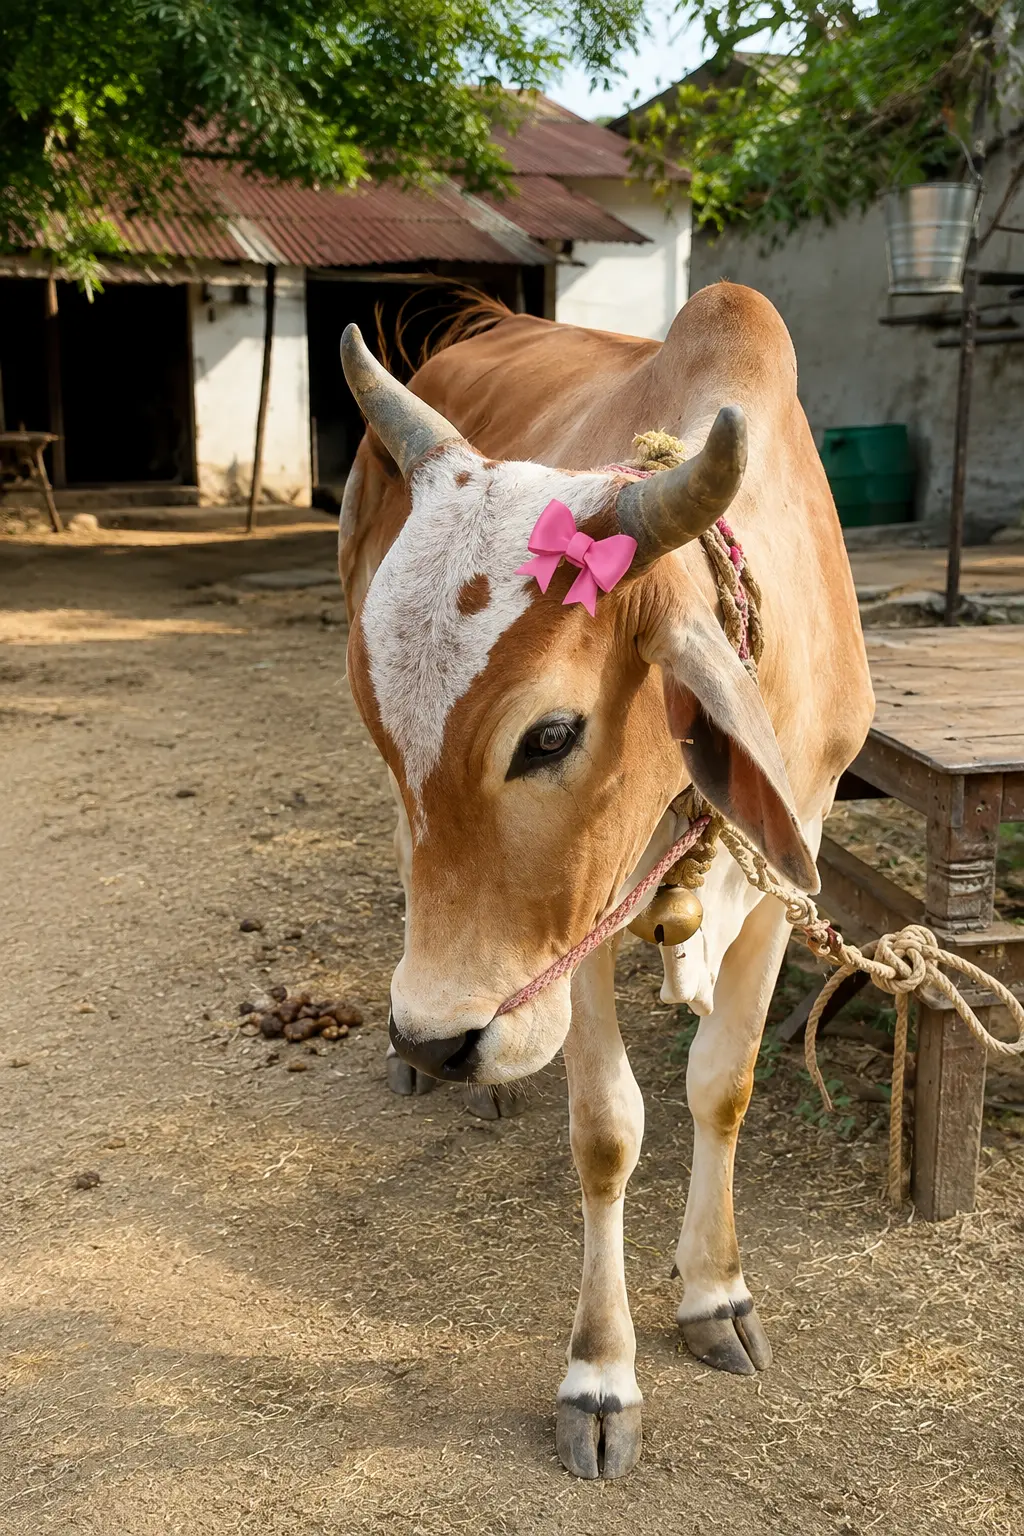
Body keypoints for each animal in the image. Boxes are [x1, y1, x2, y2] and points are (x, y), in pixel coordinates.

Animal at [337, 283, 874, 1479]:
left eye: (551, 734)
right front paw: (599, 1375)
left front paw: (715, 1292)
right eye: (385, 724)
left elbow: (723, 1084)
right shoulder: (566, 941)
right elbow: (608, 1131)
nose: (435, 1038)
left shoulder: (787, 867)